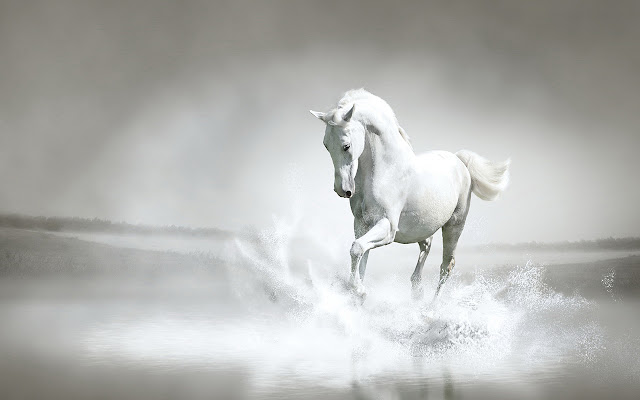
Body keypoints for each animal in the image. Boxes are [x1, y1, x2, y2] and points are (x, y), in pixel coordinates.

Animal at [310, 89, 510, 300]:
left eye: (346, 146)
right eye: (326, 145)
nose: (343, 190)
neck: (386, 170)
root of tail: (459, 161)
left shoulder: (387, 227)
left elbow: (357, 249)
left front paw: (359, 290)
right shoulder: (361, 224)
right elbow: (360, 253)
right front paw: (357, 291)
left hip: (454, 226)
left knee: (446, 266)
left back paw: (431, 306)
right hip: (423, 227)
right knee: (426, 246)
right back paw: (417, 290)